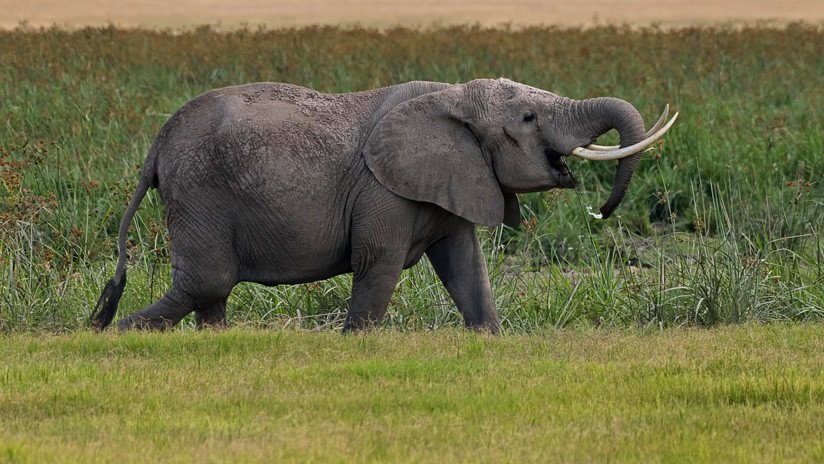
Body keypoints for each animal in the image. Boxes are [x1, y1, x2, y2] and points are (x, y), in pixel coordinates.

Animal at [90, 79, 676, 334]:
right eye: (529, 119)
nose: (602, 211)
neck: (453, 97)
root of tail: (155, 148)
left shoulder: (454, 179)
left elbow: (465, 266)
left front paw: (489, 338)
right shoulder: (382, 191)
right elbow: (380, 261)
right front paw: (357, 343)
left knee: (211, 291)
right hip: (199, 193)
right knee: (207, 282)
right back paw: (110, 333)